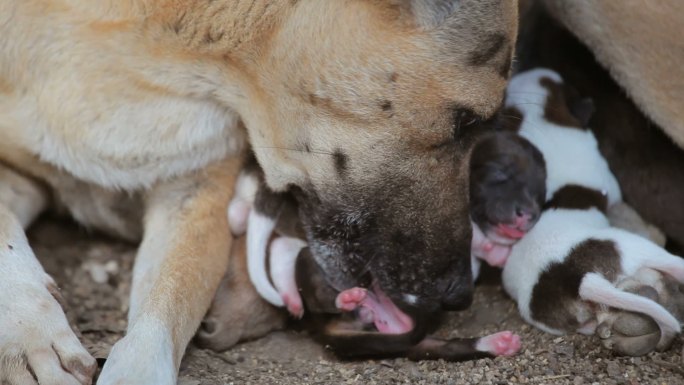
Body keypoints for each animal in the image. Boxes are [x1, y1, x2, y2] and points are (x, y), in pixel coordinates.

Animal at [0, 1, 516, 382]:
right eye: (464, 122)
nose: (459, 295)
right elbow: (6, 236)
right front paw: (31, 334)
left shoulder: (196, 196)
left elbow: (159, 318)